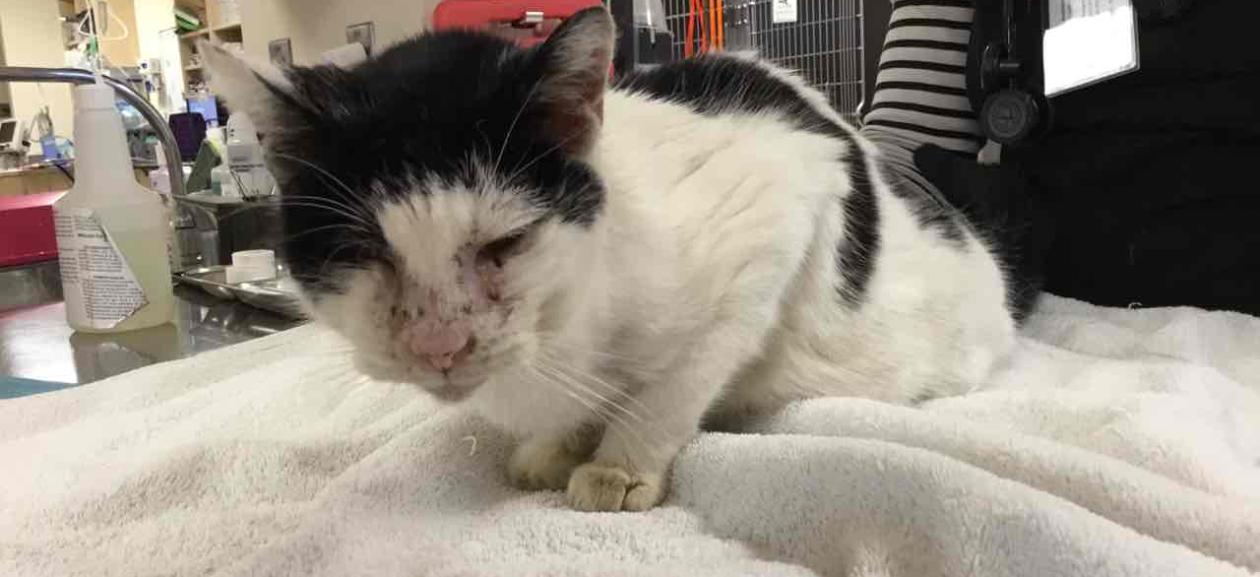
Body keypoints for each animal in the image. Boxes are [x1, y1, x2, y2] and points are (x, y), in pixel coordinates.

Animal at [201, 9, 1033, 511]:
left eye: (504, 244)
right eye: (366, 251)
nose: (440, 345)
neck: (568, 316)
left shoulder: (781, 204)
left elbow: (670, 387)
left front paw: (617, 466)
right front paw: (558, 443)